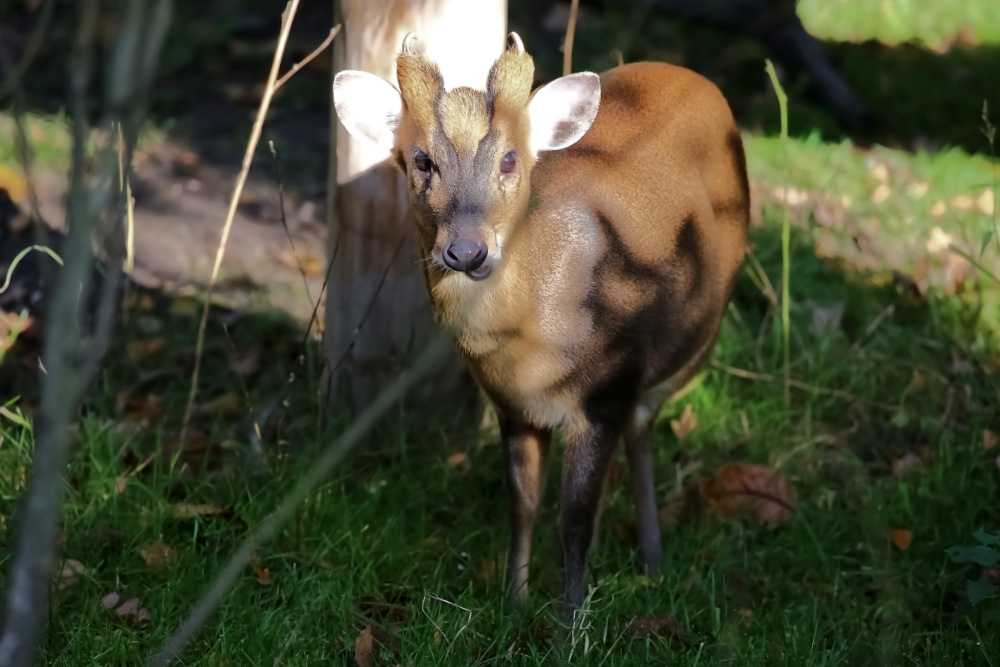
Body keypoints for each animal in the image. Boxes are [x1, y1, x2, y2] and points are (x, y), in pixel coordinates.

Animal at [332, 34, 748, 612]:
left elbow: (574, 521)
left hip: (696, 340)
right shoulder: (511, 406)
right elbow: (524, 505)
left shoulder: (606, 391)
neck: (533, 347)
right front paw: (514, 602)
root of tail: (698, 79)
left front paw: (571, 620)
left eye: (510, 159)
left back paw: (654, 560)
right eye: (421, 160)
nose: (467, 250)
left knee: (643, 426)